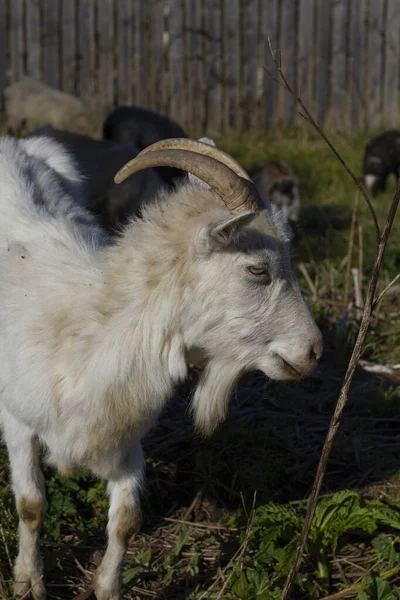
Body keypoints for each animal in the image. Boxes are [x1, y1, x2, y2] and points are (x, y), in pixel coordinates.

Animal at [0, 136, 320, 600]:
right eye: (258, 269)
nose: (313, 350)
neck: (89, 331)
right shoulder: (18, 424)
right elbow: (31, 506)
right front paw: (28, 581)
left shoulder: (125, 438)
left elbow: (127, 521)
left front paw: (108, 587)